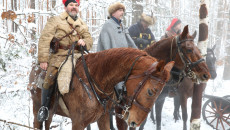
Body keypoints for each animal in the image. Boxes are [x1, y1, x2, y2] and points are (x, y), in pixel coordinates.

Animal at [28, 47, 174, 129]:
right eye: (150, 92)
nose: (134, 123)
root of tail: (36, 66)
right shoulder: (78, 123)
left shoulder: (103, 119)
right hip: (37, 109)